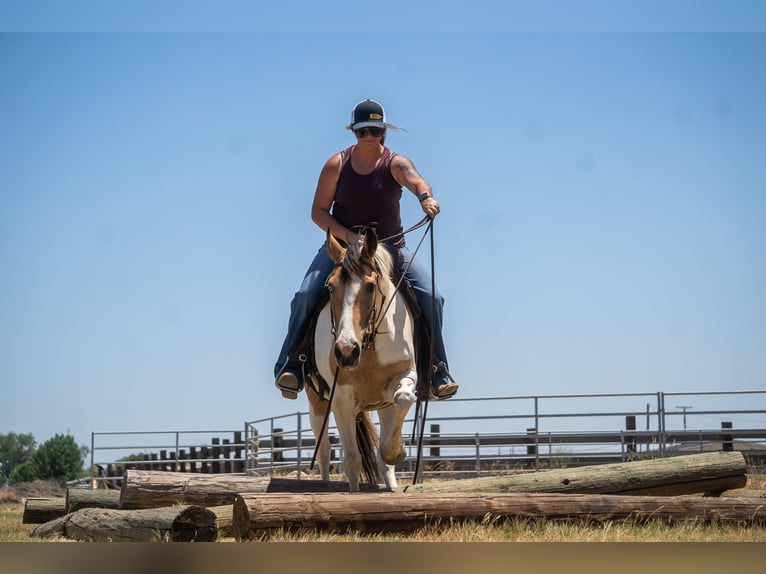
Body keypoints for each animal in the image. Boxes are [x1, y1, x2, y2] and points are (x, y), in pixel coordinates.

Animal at [307, 228, 417, 491]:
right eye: (329, 287)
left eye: (370, 286)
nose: (346, 351)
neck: (368, 346)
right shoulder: (341, 400)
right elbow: (352, 461)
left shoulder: (403, 378)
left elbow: (404, 398)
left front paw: (396, 452)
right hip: (317, 405)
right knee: (324, 452)